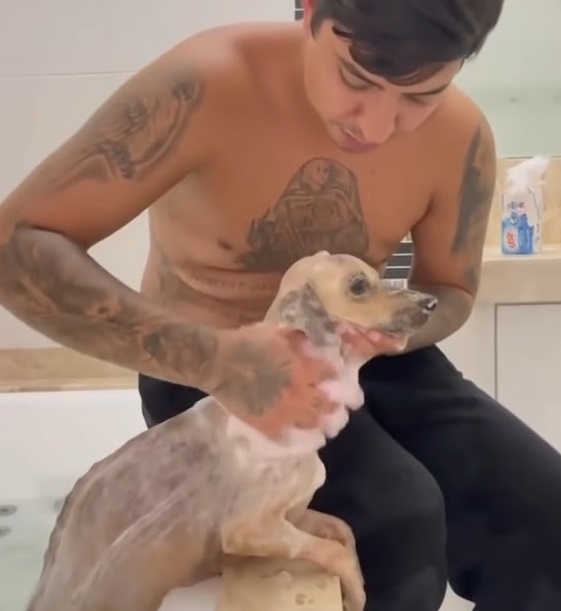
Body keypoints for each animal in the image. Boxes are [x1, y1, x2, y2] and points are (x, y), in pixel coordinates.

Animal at [26, 251, 437, 611]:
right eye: (358, 285)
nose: (431, 302)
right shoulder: (251, 529)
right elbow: (333, 551)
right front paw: (356, 589)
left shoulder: (296, 514)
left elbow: (343, 531)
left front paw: (353, 591)